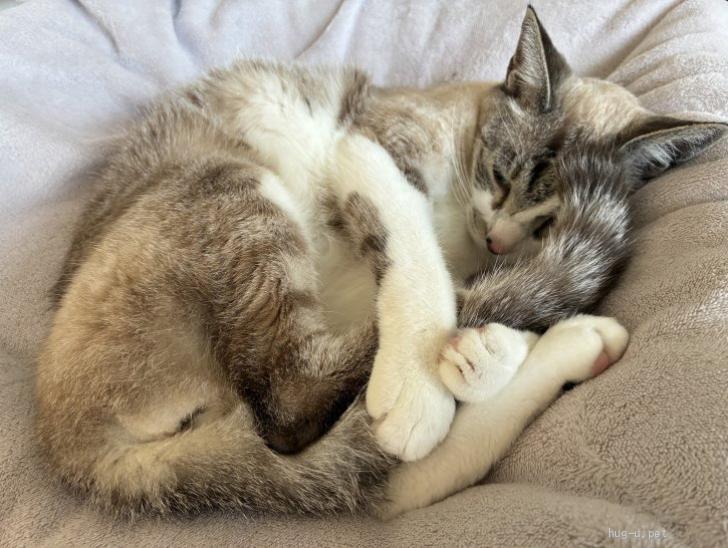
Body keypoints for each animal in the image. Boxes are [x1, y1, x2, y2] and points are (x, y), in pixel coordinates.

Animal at [37, 6, 725, 516]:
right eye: (502, 175)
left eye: (546, 222)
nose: (501, 242)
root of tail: (71, 447)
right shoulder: (371, 148)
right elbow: (414, 248)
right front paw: (420, 384)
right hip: (233, 185)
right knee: (290, 400)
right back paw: (494, 350)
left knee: (383, 479)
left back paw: (549, 345)